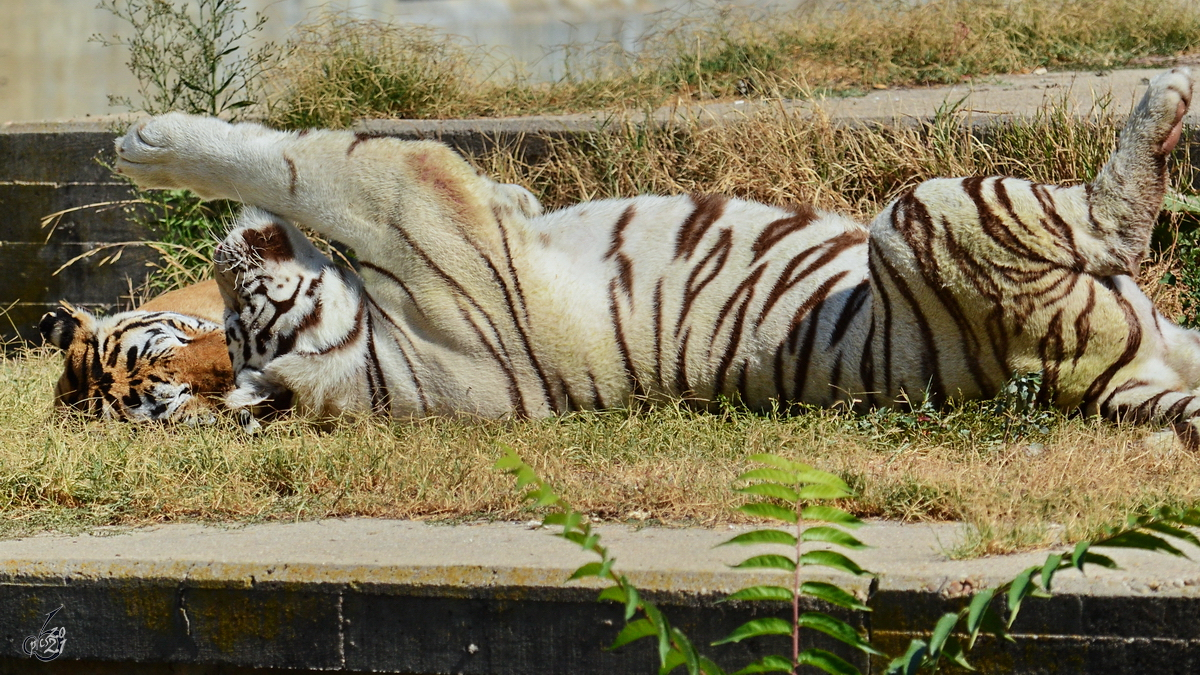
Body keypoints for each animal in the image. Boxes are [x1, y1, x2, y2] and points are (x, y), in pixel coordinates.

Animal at [114, 69, 1200, 446]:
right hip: (921, 212)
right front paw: (149, 143)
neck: (374, 357)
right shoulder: (415, 204)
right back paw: (1165, 100)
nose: (224, 249)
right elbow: (308, 160)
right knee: (1112, 221)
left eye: (236, 312)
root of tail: (1087, 387)